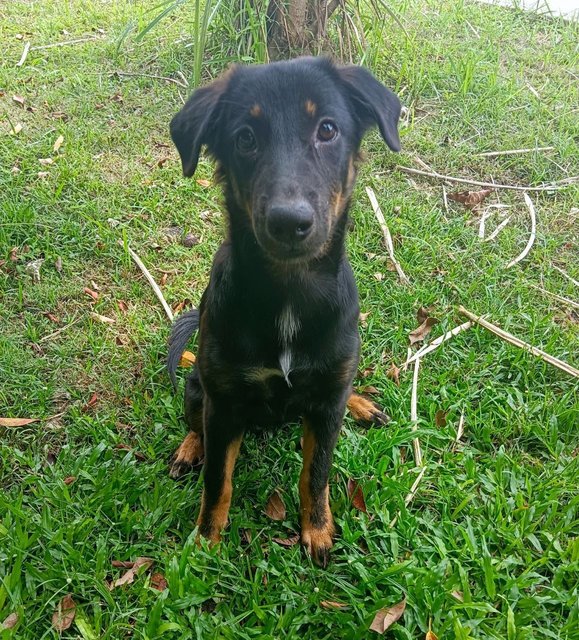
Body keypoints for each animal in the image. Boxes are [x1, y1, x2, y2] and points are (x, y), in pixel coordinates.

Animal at [167, 56, 398, 564]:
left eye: (327, 129)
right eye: (245, 138)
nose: (289, 222)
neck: (291, 293)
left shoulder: (326, 404)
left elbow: (317, 475)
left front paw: (317, 531)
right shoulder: (225, 402)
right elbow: (218, 480)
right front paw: (206, 541)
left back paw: (360, 403)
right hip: (198, 386)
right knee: (195, 418)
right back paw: (190, 447)